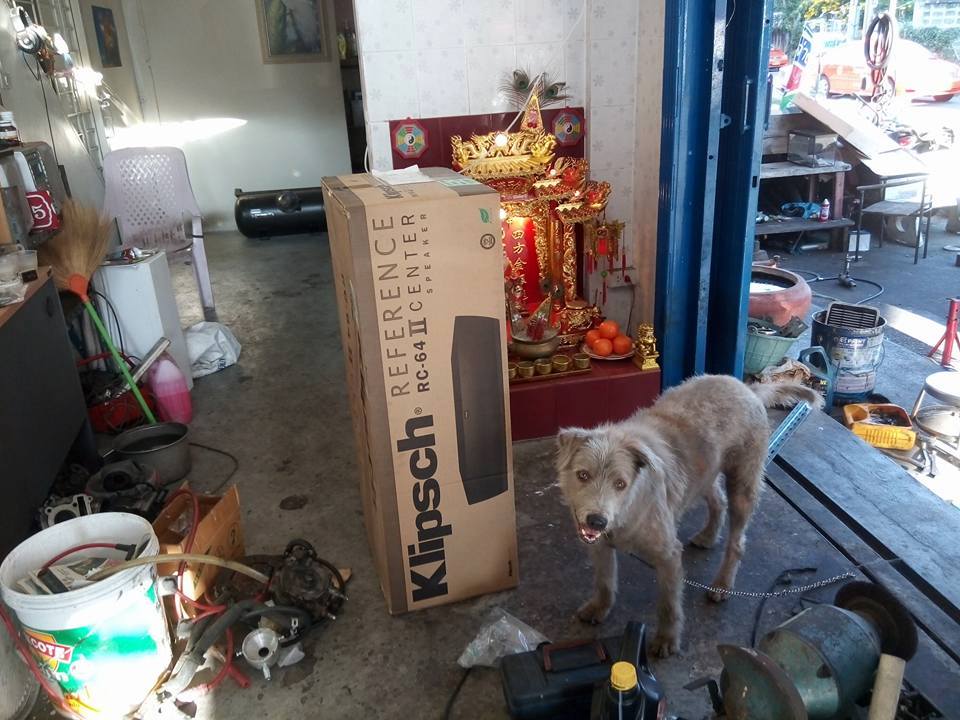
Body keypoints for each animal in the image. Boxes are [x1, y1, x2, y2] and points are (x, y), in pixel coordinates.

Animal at [555, 374, 822, 657]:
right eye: (583, 475)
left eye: (620, 484)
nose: (597, 521)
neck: (629, 506)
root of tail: (747, 388)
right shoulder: (600, 546)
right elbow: (604, 581)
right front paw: (599, 608)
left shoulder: (669, 556)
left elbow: (669, 604)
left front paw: (667, 640)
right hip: (706, 475)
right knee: (718, 502)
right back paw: (708, 536)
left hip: (743, 486)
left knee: (737, 541)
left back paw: (722, 583)